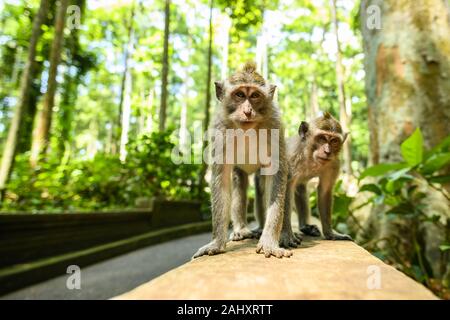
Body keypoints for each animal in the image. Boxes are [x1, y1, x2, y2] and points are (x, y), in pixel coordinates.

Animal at [192, 61, 290, 258]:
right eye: (239, 95)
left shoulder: (274, 125)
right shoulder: (220, 129)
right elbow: (221, 179)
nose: (247, 111)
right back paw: (241, 229)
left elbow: (276, 175)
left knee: (261, 184)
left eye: (255, 96)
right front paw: (216, 242)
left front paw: (269, 241)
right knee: (240, 180)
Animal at [280, 111, 354, 244]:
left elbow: (325, 190)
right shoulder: (291, 158)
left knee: (300, 188)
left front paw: (331, 233)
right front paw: (286, 234)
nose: (327, 151)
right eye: (322, 138)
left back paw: (305, 227)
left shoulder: (334, 164)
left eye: (334, 141)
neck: (310, 156)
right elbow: (286, 188)